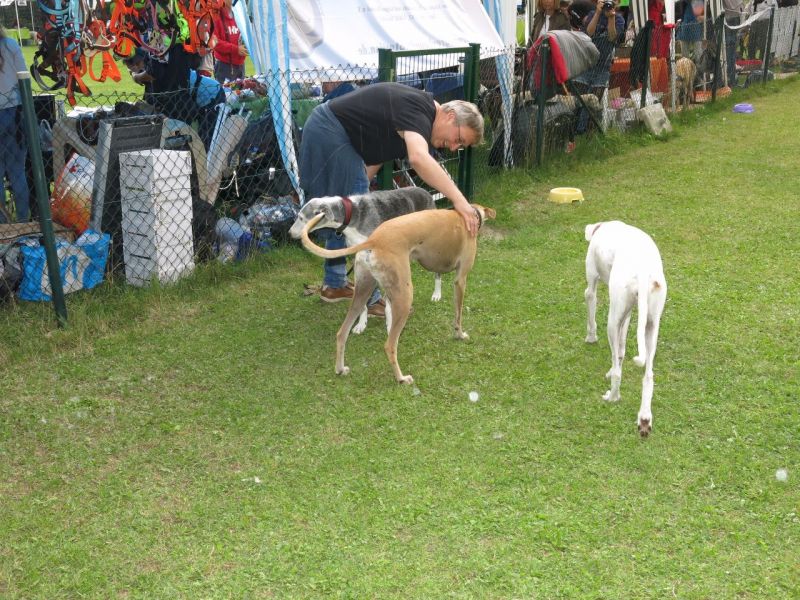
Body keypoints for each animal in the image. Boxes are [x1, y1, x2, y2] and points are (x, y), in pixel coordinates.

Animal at [289, 188, 442, 334]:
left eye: (302, 218)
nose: (290, 234)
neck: (352, 215)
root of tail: (425, 191)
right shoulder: (358, 261)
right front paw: (361, 324)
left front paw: (390, 324)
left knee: (437, 273)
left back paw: (436, 294)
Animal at [300, 205, 496, 384]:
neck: (466, 216)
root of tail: (374, 240)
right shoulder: (460, 280)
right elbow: (458, 314)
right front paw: (460, 335)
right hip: (405, 296)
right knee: (389, 345)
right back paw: (401, 378)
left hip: (363, 291)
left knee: (342, 333)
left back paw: (340, 369)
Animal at [584, 221, 667, 437]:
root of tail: (643, 273)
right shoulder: (627, 314)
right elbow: (621, 351)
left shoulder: (592, 282)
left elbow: (590, 303)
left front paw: (591, 337)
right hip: (651, 325)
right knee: (648, 376)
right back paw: (644, 418)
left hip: (612, 320)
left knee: (618, 375)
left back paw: (612, 397)